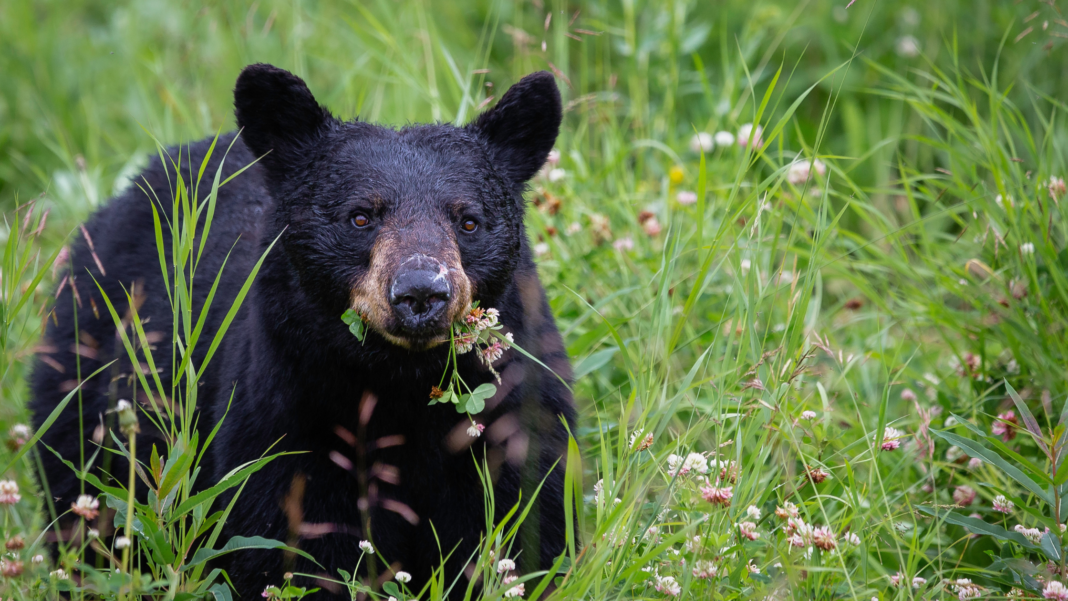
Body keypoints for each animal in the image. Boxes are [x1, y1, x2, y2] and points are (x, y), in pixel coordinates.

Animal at [30, 63, 576, 598]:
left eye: (468, 221)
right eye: (360, 216)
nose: (421, 291)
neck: (401, 385)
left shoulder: (513, 417)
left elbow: (525, 531)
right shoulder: (286, 418)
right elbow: (290, 547)